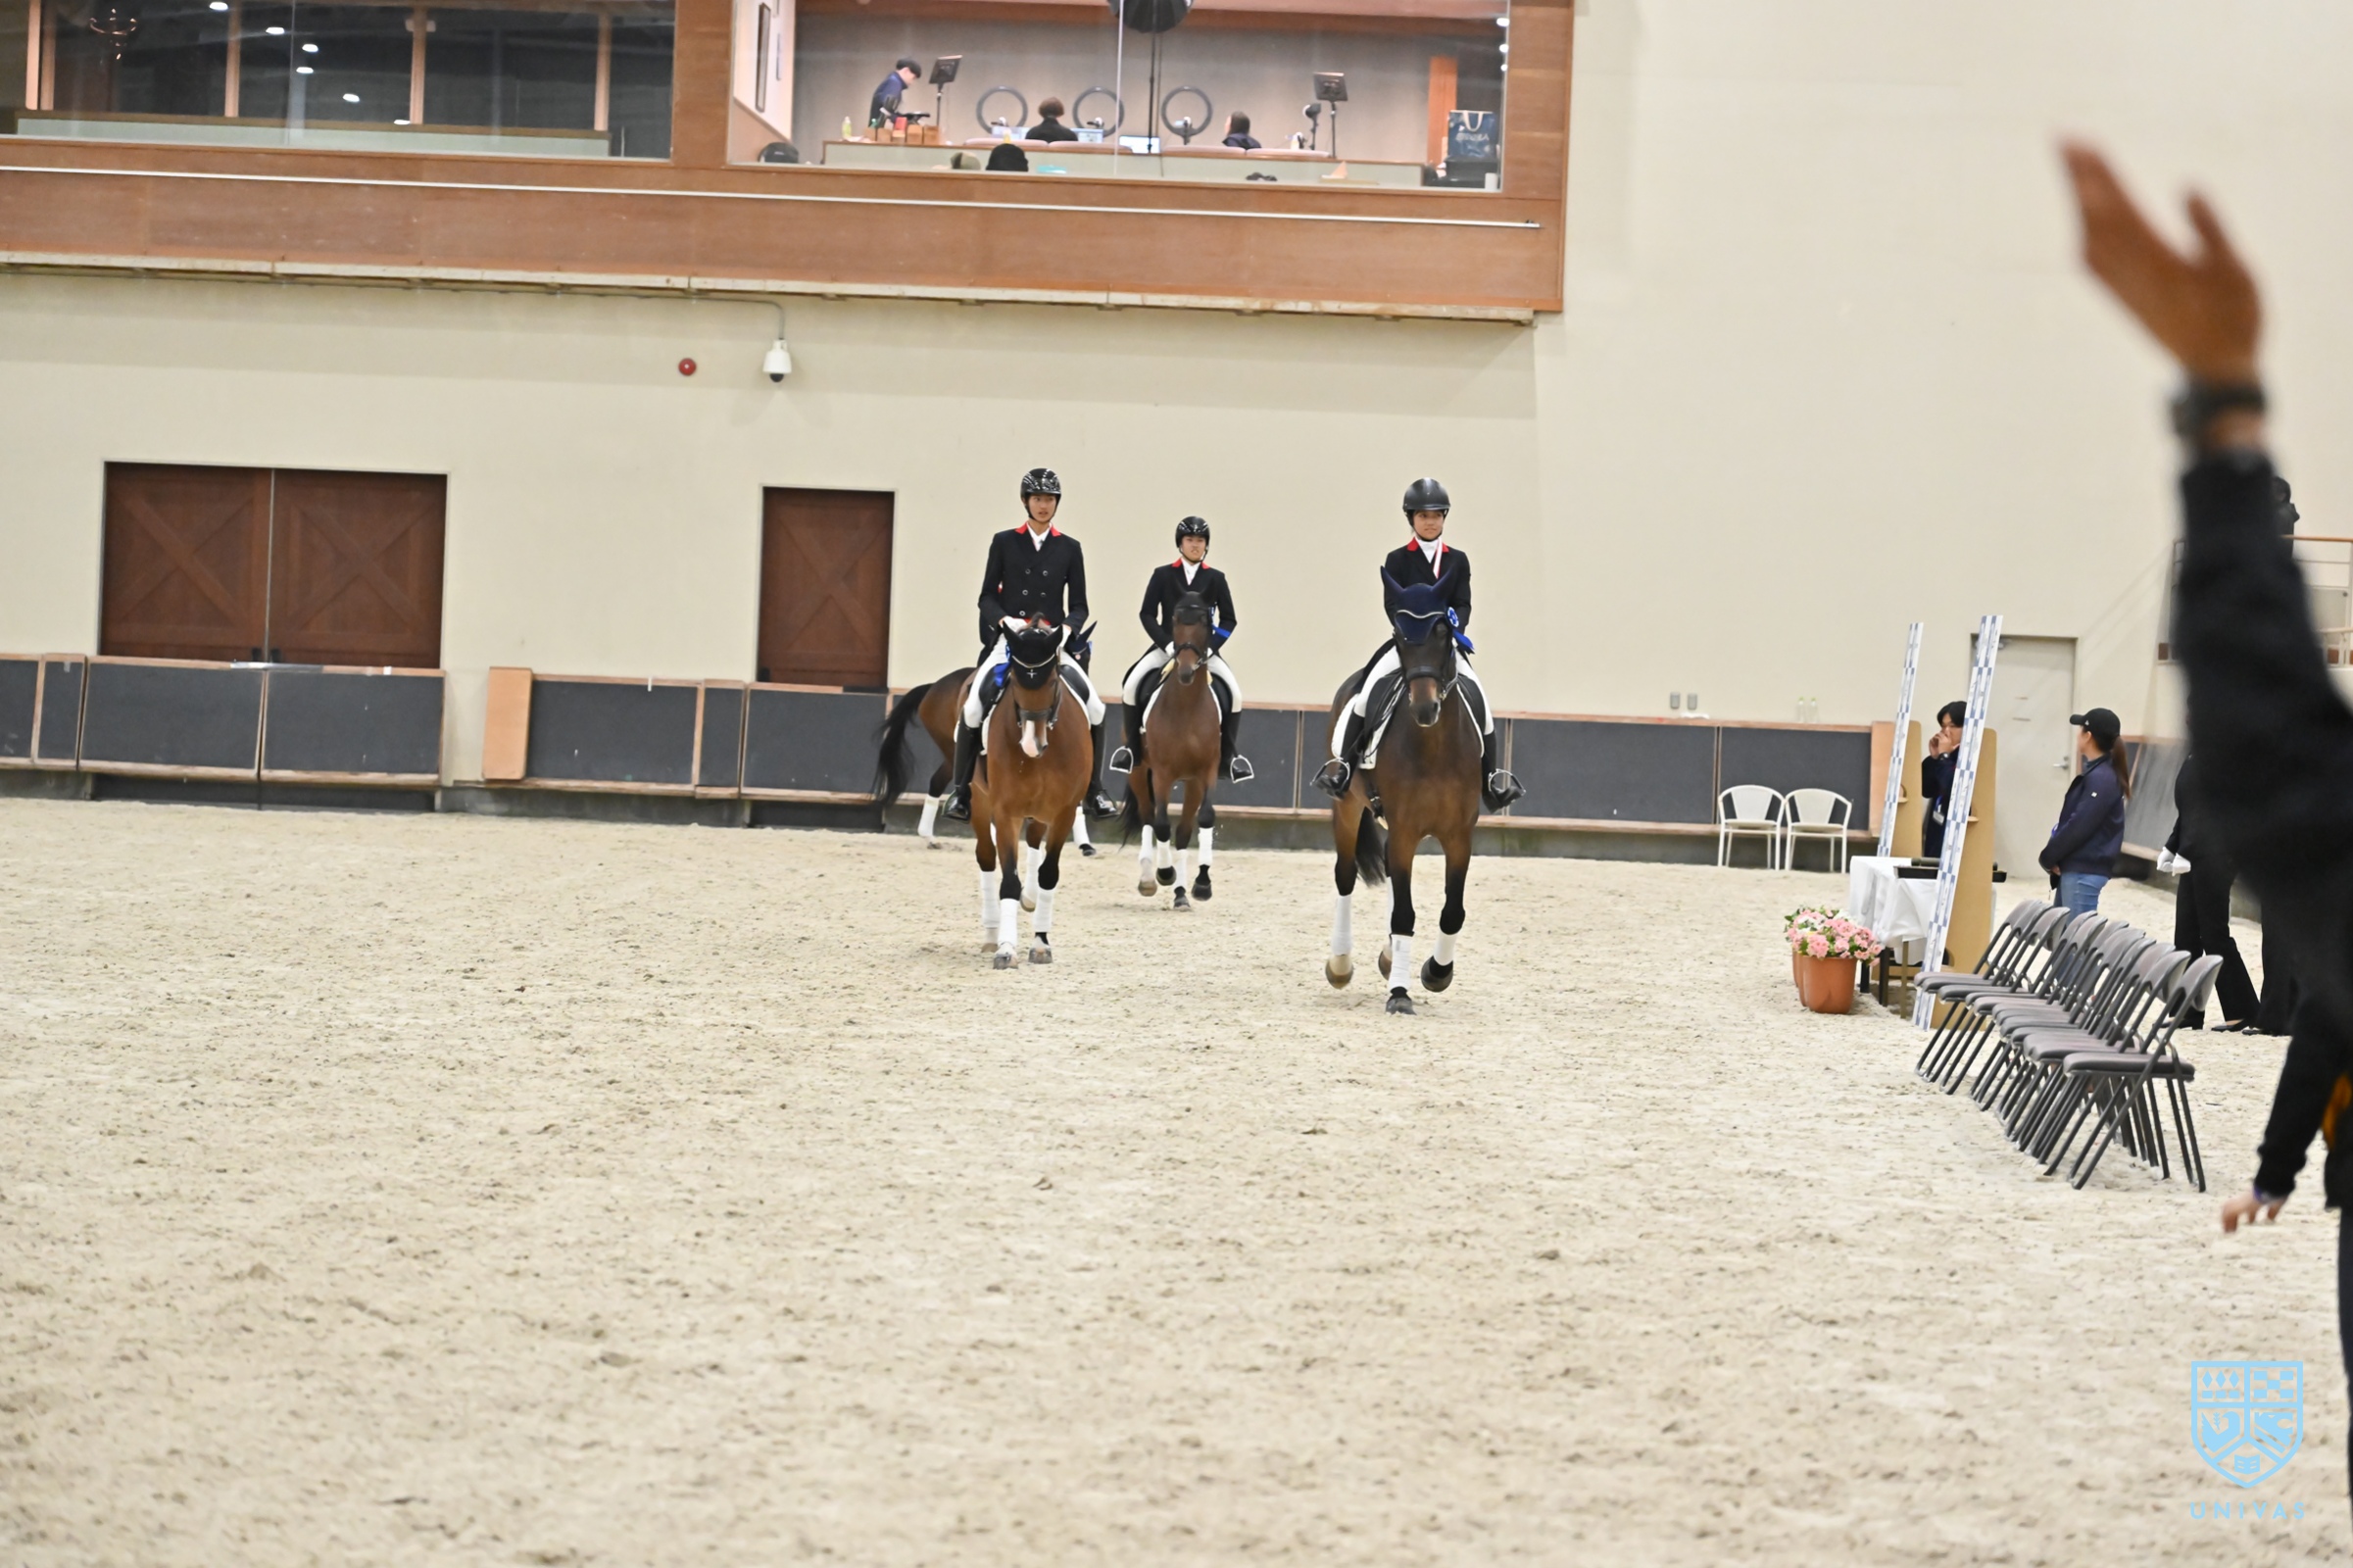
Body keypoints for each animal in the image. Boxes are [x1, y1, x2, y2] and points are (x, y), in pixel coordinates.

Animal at [970, 621, 1093, 968]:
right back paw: (991, 933)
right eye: (1012, 680)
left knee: (1036, 843)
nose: (1030, 745)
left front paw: (1040, 945)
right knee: (986, 856)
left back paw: (1030, 898)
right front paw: (1006, 948)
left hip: (1042, 811)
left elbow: (1048, 874)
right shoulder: (1005, 812)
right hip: (978, 801)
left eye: (1052, 681)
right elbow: (1008, 881)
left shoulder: (1064, 812)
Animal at [1119, 590, 1222, 909]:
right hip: (1139, 772)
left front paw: (1202, 884)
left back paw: (1180, 894)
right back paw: (1149, 879)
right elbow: (1161, 824)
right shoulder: (1162, 773)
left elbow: (1203, 819)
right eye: (1175, 621)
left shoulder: (1206, 772)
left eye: (1203, 622)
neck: (1186, 705)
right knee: (1148, 817)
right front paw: (1164, 873)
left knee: (1184, 830)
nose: (1186, 672)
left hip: (1190, 783)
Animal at [1322, 591, 1483, 1014]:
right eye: (1399, 636)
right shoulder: (1406, 830)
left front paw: (1435, 972)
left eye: (1444, 634)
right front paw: (1399, 993)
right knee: (1345, 876)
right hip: (1347, 808)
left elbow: (1452, 911)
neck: (1435, 746)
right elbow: (1404, 913)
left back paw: (1391, 957)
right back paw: (1340, 964)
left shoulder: (1459, 838)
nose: (1425, 709)